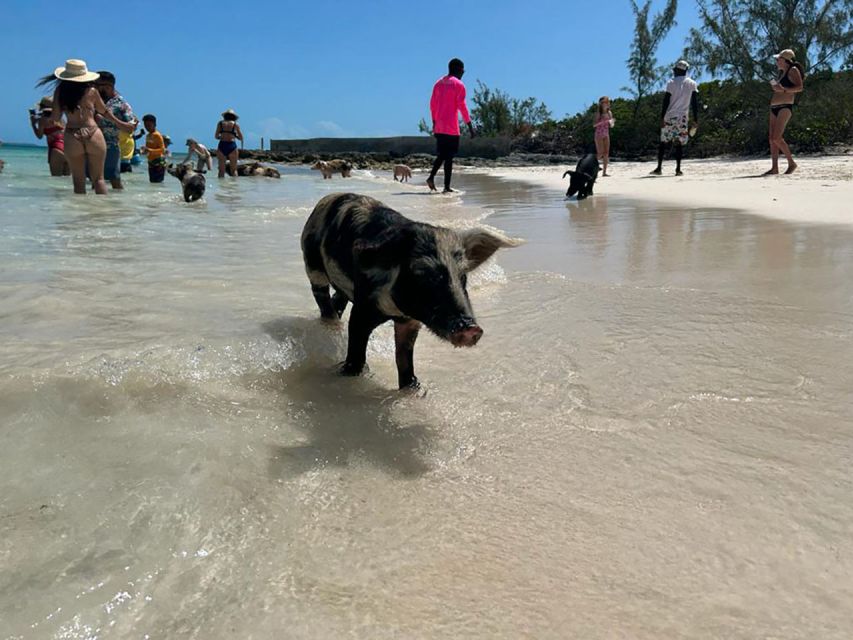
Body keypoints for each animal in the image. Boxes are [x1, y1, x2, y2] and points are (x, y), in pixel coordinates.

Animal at [302, 192, 524, 388]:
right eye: (421, 273)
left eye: (463, 276)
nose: (471, 328)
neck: (396, 311)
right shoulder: (362, 308)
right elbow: (356, 349)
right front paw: (349, 372)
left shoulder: (410, 323)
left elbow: (404, 359)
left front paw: (413, 387)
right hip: (313, 266)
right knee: (323, 298)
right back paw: (330, 323)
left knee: (338, 297)